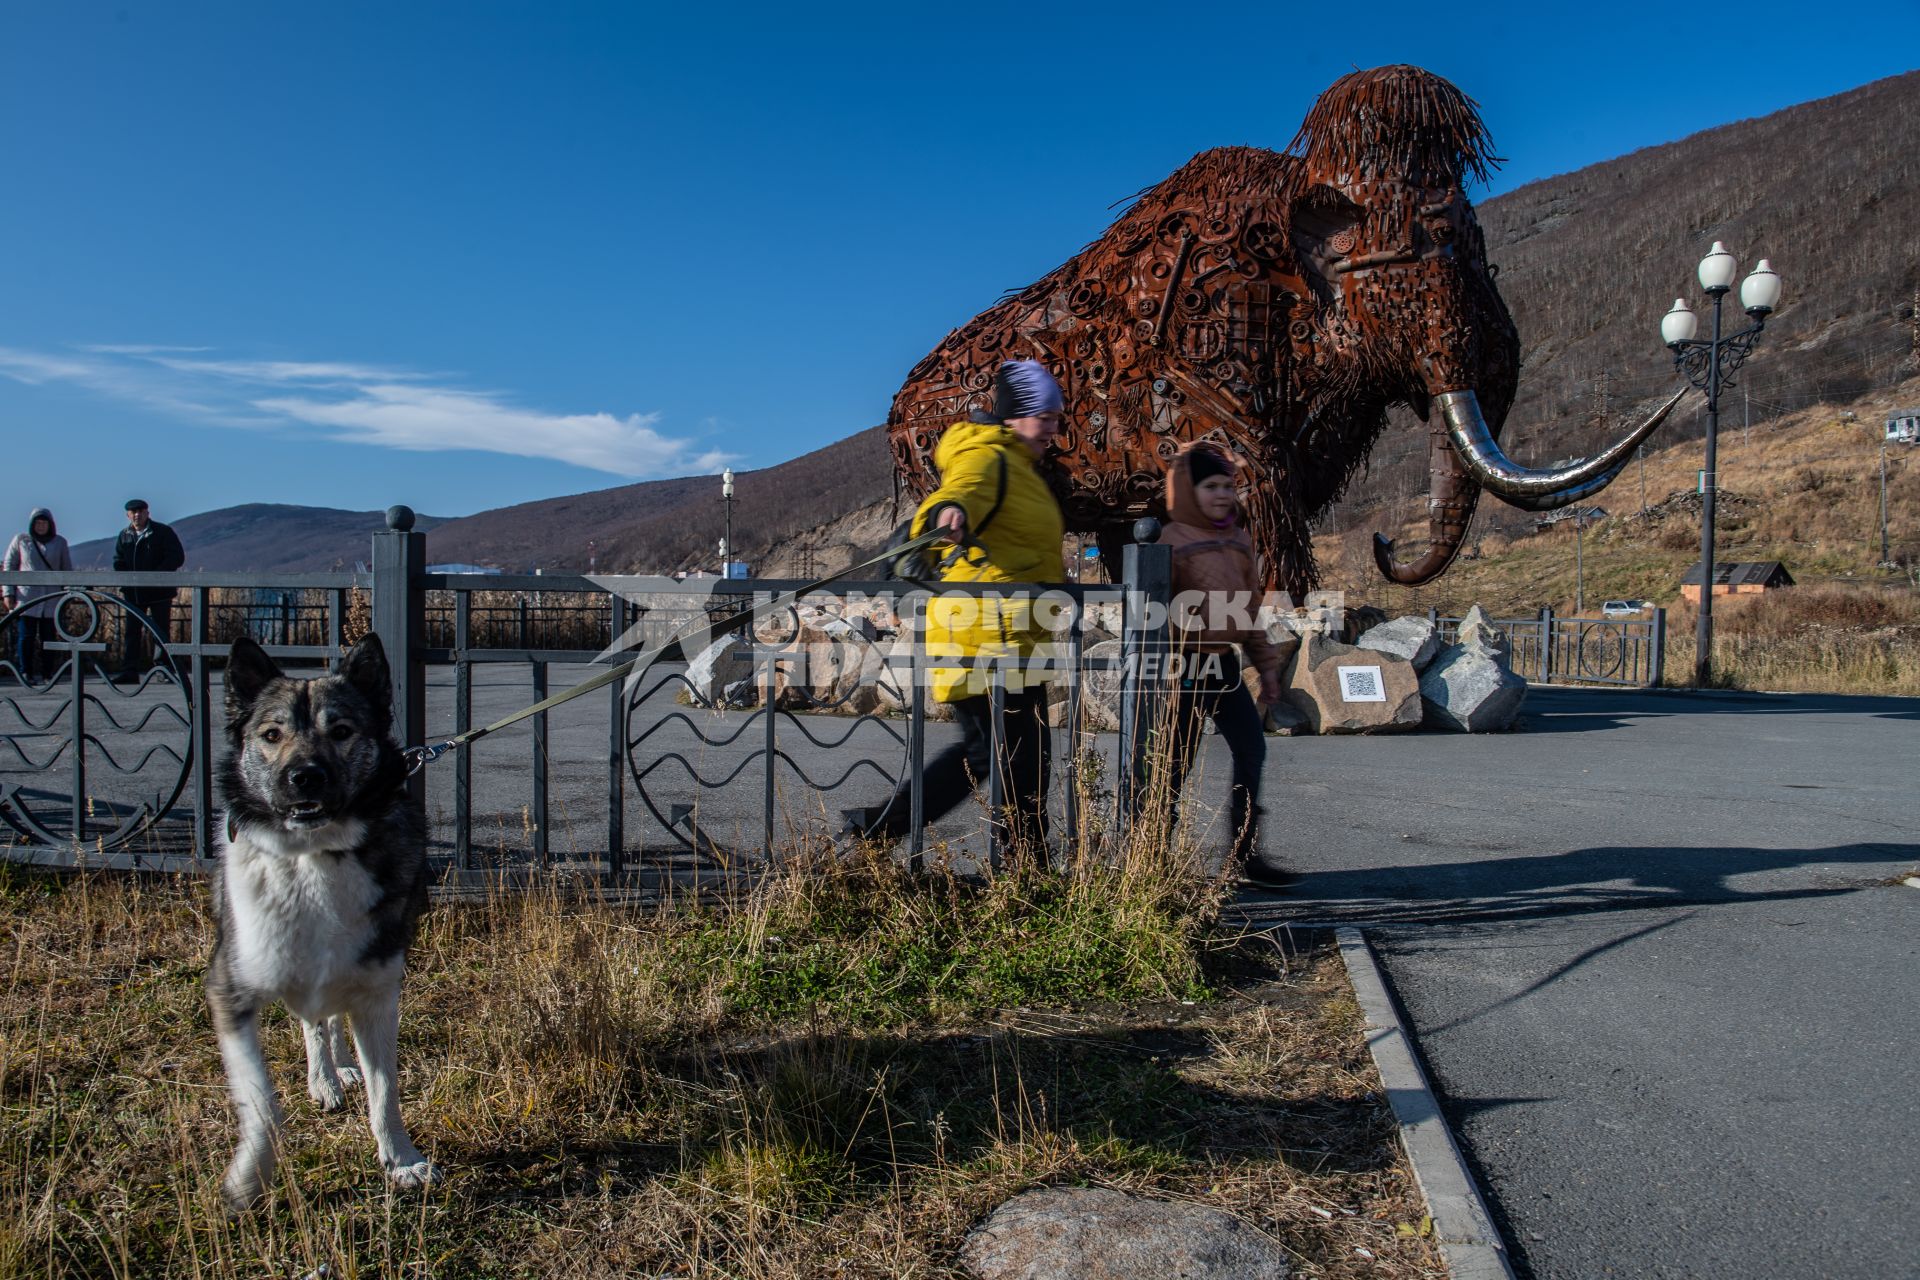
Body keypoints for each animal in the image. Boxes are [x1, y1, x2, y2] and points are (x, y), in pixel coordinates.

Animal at [207, 633, 439, 1212]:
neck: (314, 855)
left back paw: (336, 1068)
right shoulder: (228, 990)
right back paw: (324, 1080)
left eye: (342, 731)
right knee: (312, 1024)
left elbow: (385, 1091)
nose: (304, 776)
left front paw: (401, 1160)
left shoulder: (377, 990)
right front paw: (248, 1179)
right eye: (271, 735)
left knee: (326, 1019)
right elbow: (263, 1104)